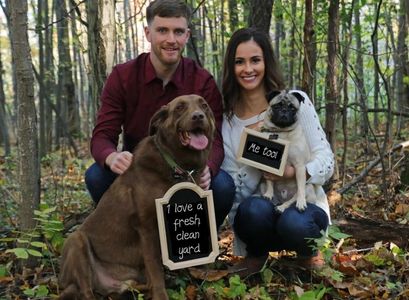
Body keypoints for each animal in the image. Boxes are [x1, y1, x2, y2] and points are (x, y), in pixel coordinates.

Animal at [59, 95, 217, 298]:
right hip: (76, 241)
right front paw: (161, 295)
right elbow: (155, 268)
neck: (175, 166)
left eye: (204, 105)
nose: (198, 116)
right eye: (179, 108)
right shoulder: (147, 227)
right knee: (86, 292)